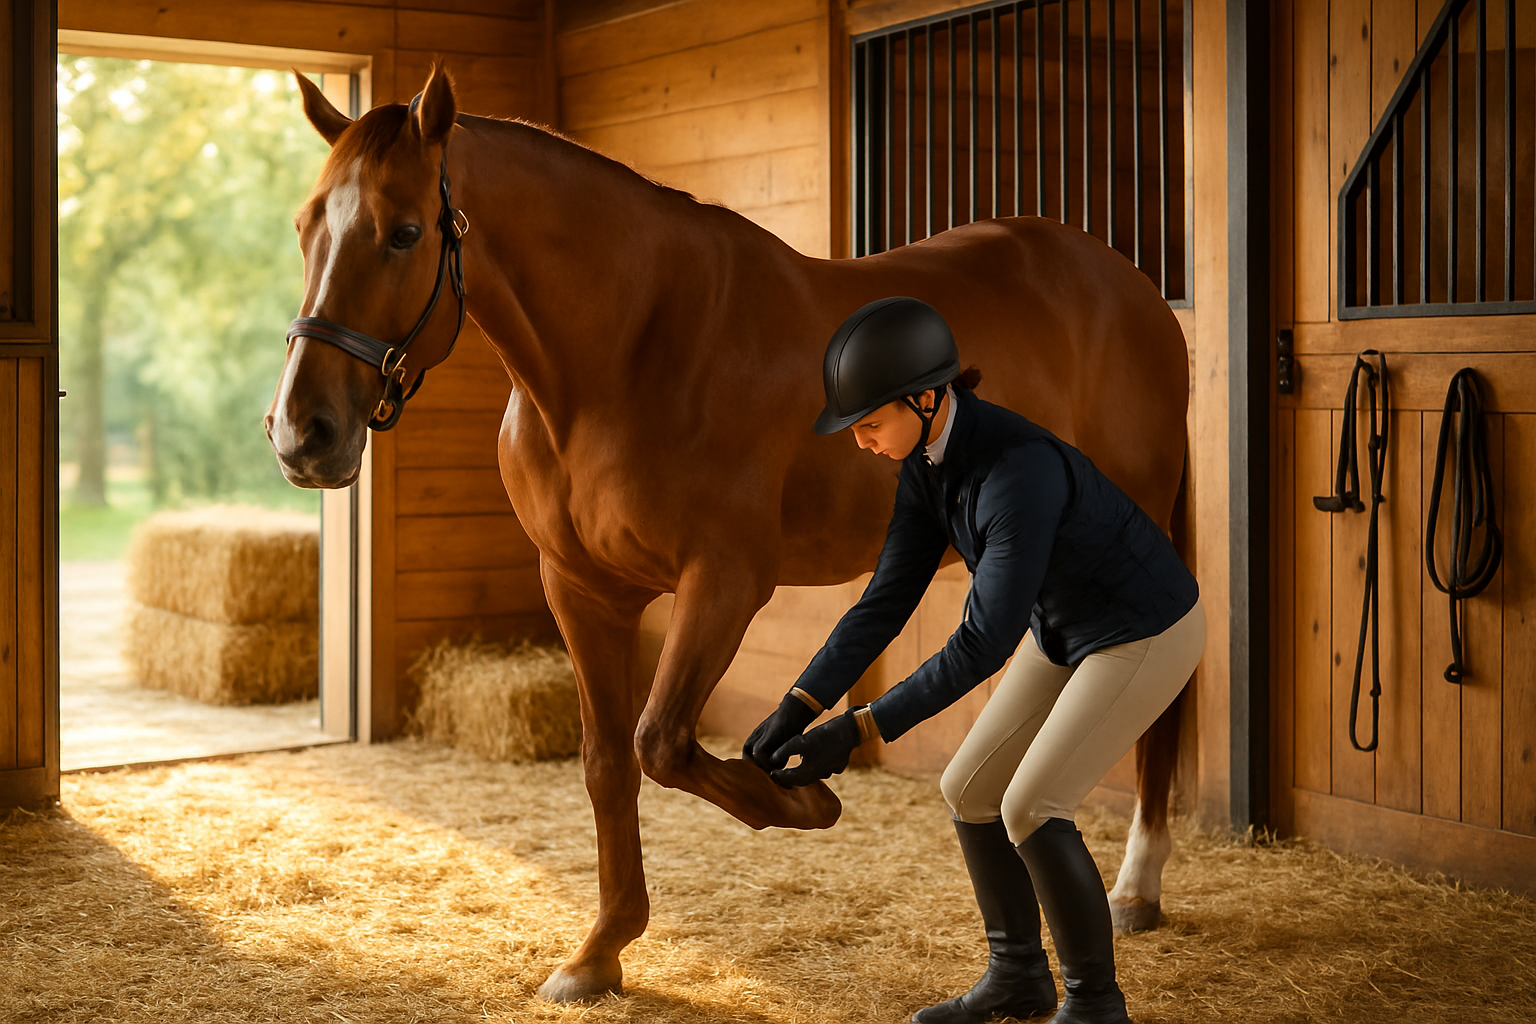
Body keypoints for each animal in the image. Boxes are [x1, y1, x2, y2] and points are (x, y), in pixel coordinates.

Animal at [267, 66, 1192, 1002]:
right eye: (306, 227)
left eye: (404, 232)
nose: (303, 434)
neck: (630, 352)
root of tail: (1127, 284)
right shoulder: (580, 590)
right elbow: (608, 761)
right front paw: (599, 952)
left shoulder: (724, 582)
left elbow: (663, 741)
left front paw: (804, 799)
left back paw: (1137, 886)